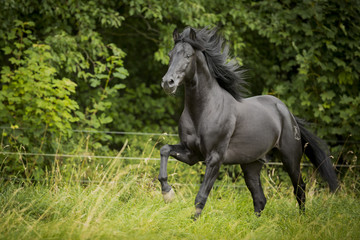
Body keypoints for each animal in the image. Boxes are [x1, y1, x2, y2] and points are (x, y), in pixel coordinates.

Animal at [158, 27, 338, 218]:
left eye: (188, 55)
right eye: (170, 54)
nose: (168, 83)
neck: (203, 111)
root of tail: (288, 113)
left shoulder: (215, 158)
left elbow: (201, 196)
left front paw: (193, 220)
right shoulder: (192, 154)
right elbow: (164, 149)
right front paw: (168, 193)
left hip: (291, 159)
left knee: (299, 189)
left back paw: (301, 220)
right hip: (251, 164)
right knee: (260, 199)